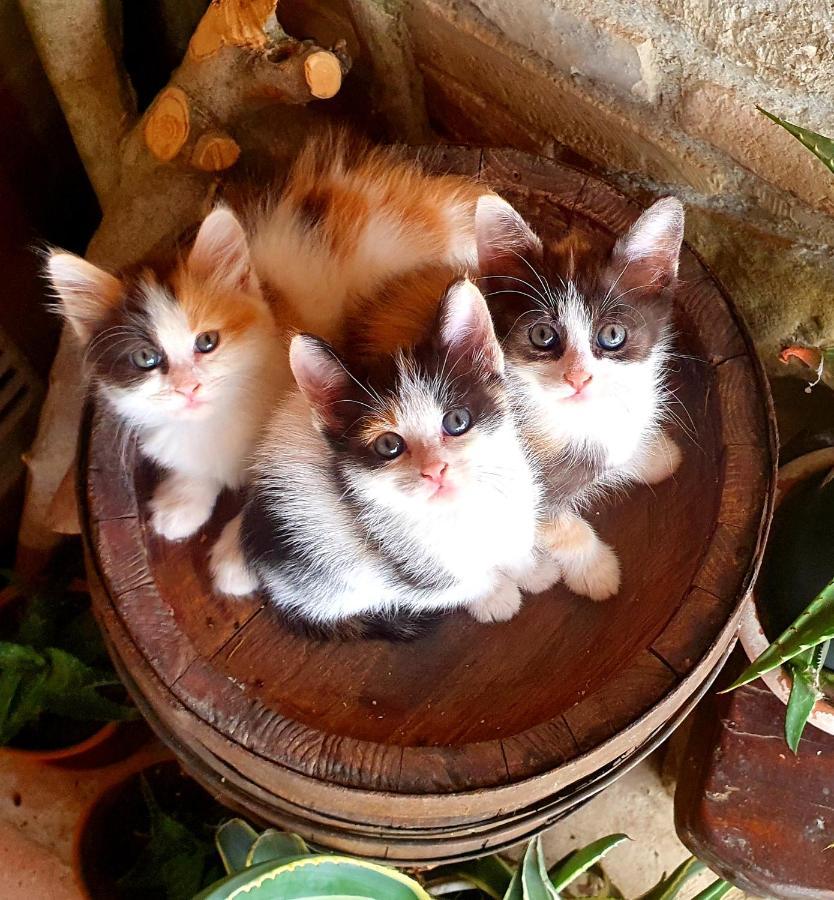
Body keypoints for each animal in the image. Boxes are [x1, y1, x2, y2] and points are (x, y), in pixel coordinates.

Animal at [210, 278, 560, 636]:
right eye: (388, 444)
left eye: (456, 421)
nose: (435, 470)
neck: (461, 511)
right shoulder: (405, 567)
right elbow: (462, 583)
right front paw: (495, 597)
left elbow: (514, 541)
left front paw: (532, 570)